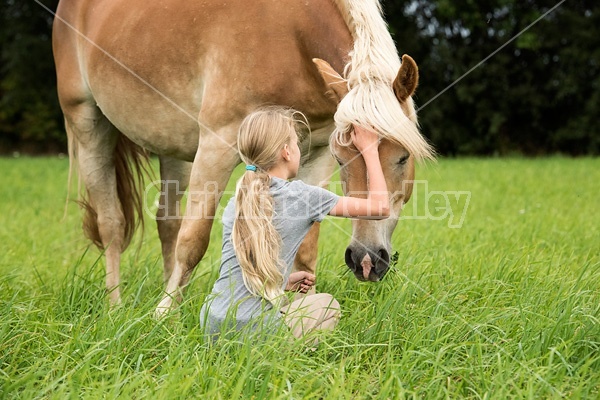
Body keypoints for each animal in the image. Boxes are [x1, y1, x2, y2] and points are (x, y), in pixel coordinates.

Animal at [51, 0, 434, 314]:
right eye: (345, 161)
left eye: (402, 157)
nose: (366, 260)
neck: (292, 37)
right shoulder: (218, 143)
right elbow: (193, 241)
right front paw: (162, 318)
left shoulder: (316, 154)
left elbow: (306, 247)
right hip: (87, 123)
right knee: (112, 225)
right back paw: (116, 306)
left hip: (174, 148)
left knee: (167, 222)